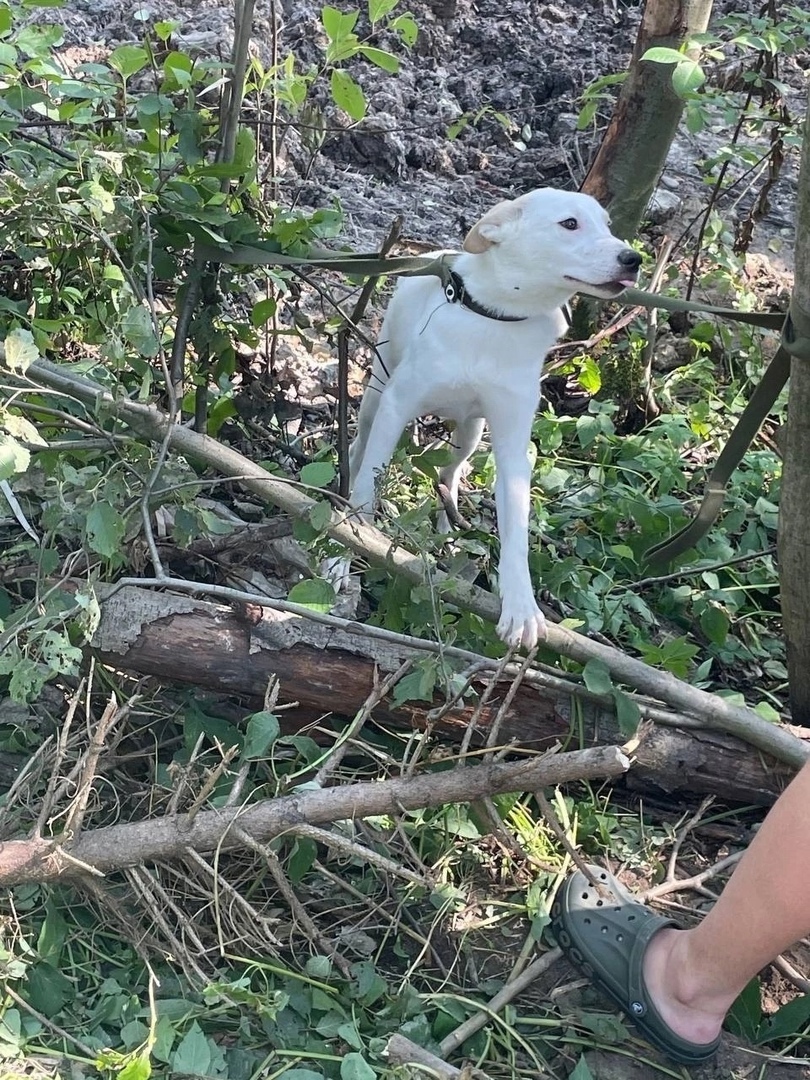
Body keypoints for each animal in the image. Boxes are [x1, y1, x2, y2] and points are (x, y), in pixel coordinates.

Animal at [336, 187, 639, 648]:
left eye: (607, 225)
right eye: (569, 224)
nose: (633, 258)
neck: (497, 318)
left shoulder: (513, 442)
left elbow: (515, 531)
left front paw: (521, 606)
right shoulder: (397, 404)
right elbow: (366, 492)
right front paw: (347, 548)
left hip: (472, 433)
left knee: (449, 474)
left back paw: (447, 524)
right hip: (377, 387)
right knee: (360, 444)